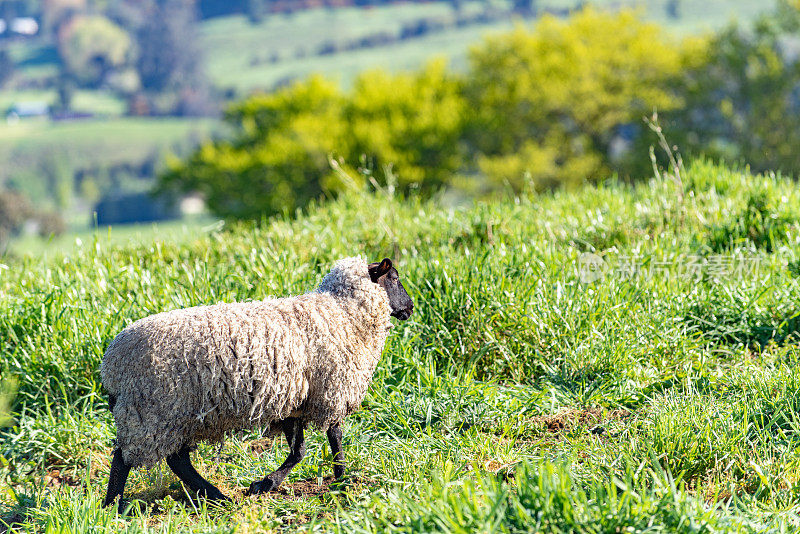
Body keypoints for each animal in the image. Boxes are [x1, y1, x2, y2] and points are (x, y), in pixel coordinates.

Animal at [100, 258, 412, 512]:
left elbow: (298, 450)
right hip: (150, 413)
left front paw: (265, 484)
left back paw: (215, 496)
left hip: (173, 417)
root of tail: (111, 365)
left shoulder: (294, 400)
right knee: (124, 459)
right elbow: (333, 438)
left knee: (177, 461)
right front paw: (342, 480)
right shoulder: (332, 389)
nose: (410, 308)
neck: (343, 311)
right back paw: (113, 506)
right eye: (395, 278)